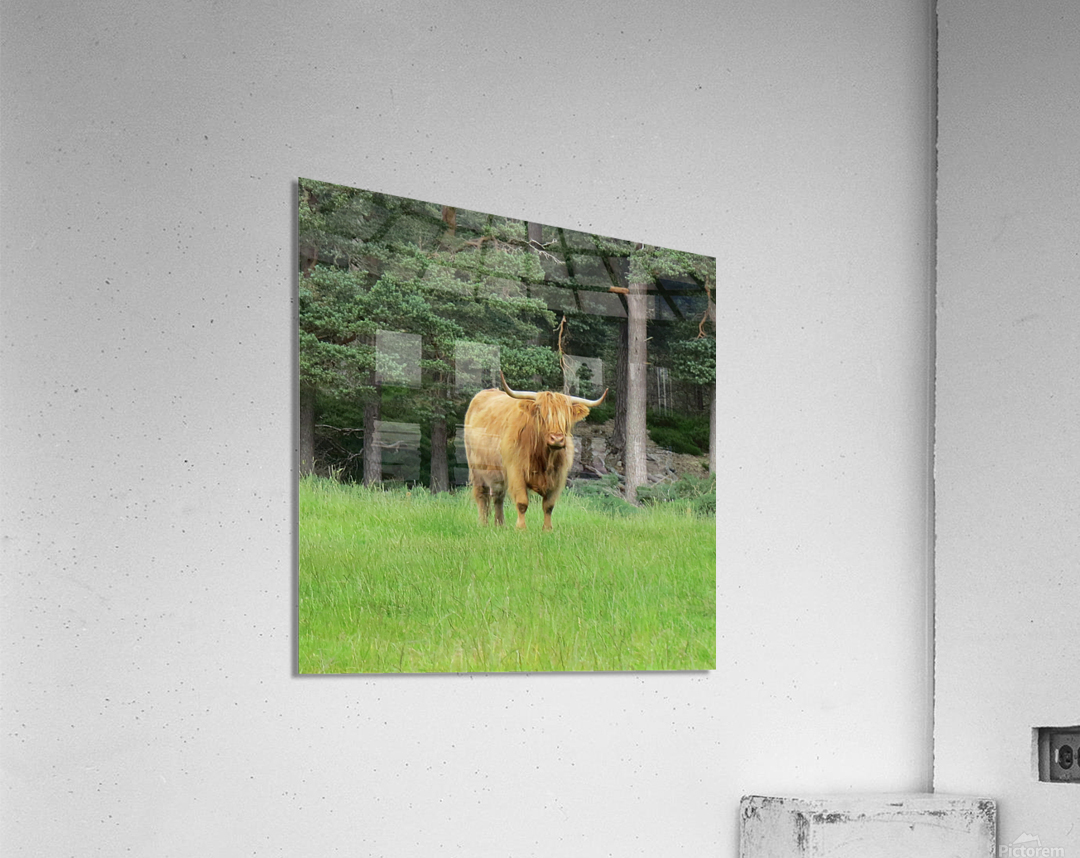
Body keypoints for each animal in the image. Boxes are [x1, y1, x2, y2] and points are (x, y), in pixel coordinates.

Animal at [463, 372, 607, 531]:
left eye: (565, 419)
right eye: (542, 417)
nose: (557, 439)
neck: (544, 457)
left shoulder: (558, 476)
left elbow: (549, 506)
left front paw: (547, 529)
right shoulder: (516, 471)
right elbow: (522, 502)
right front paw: (521, 528)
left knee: (498, 496)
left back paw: (500, 525)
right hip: (476, 467)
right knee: (482, 495)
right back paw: (483, 524)